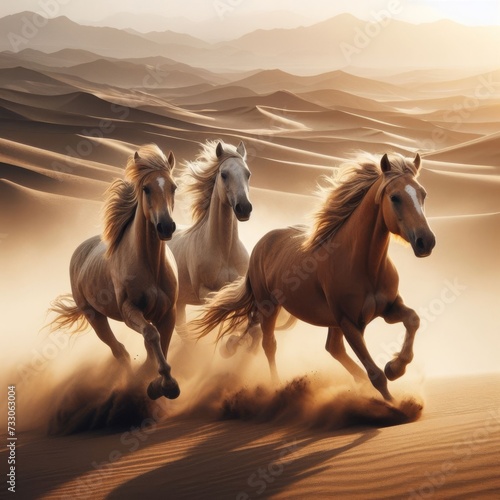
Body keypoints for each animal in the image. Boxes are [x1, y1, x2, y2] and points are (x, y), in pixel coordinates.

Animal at [48, 144, 181, 398]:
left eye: (174, 187)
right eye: (146, 188)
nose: (166, 227)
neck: (151, 267)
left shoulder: (168, 313)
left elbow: (160, 344)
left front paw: (158, 382)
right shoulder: (129, 310)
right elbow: (152, 335)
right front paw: (166, 384)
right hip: (94, 316)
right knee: (119, 351)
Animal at [193, 153, 436, 402]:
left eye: (423, 194)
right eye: (395, 197)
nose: (426, 241)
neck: (364, 265)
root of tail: (262, 243)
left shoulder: (388, 308)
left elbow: (413, 320)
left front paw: (395, 367)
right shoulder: (349, 322)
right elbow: (376, 374)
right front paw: (396, 404)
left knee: (332, 348)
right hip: (269, 307)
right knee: (269, 344)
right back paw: (275, 386)